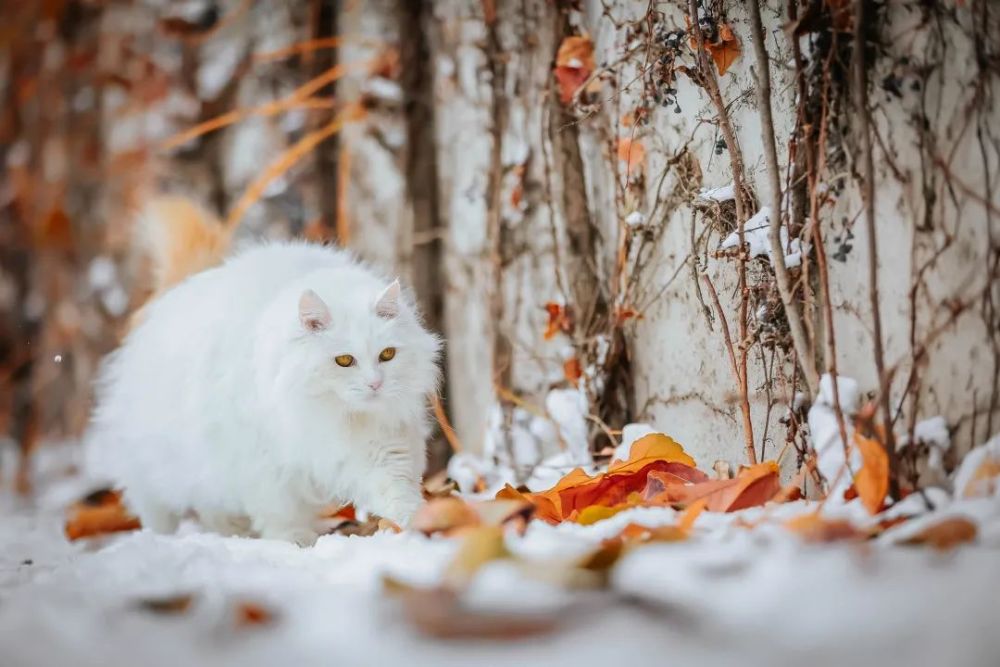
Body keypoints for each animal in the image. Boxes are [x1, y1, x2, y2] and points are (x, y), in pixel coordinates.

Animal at [88, 201, 440, 544]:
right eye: (344, 360)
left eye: (387, 355)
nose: (375, 384)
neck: (331, 415)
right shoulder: (266, 467)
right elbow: (282, 517)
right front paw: (295, 544)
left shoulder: (383, 446)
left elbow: (395, 491)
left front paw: (414, 527)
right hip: (156, 473)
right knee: (158, 512)